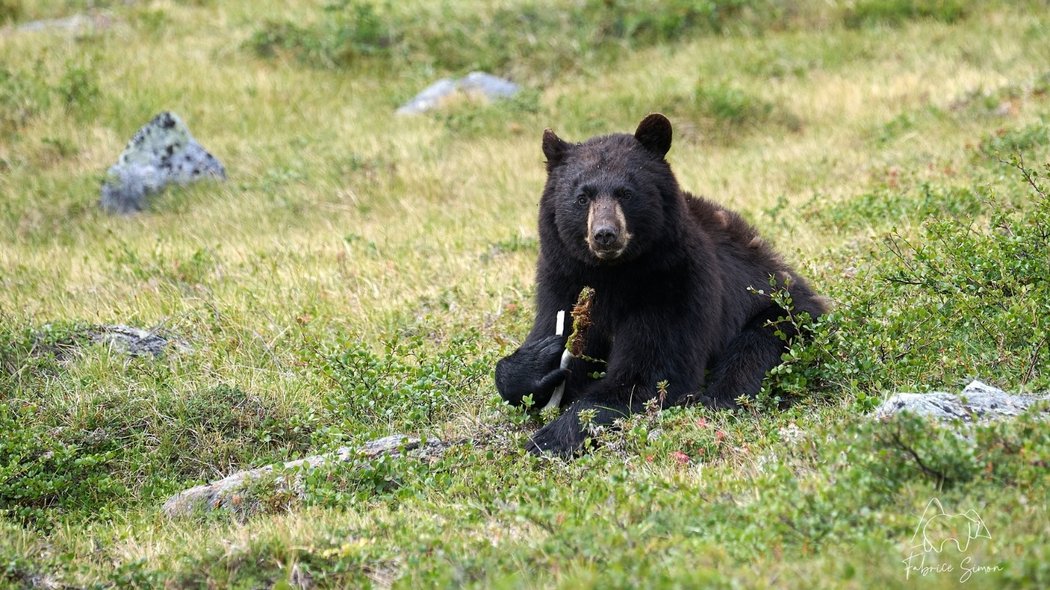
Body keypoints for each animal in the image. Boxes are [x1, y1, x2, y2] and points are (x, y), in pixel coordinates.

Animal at [495, 113, 827, 457]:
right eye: (582, 197)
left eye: (626, 193)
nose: (605, 234)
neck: (614, 274)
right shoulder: (562, 279)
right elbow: (551, 338)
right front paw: (539, 357)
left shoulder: (673, 280)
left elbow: (651, 373)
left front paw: (550, 438)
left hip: (781, 315)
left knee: (751, 354)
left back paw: (716, 399)